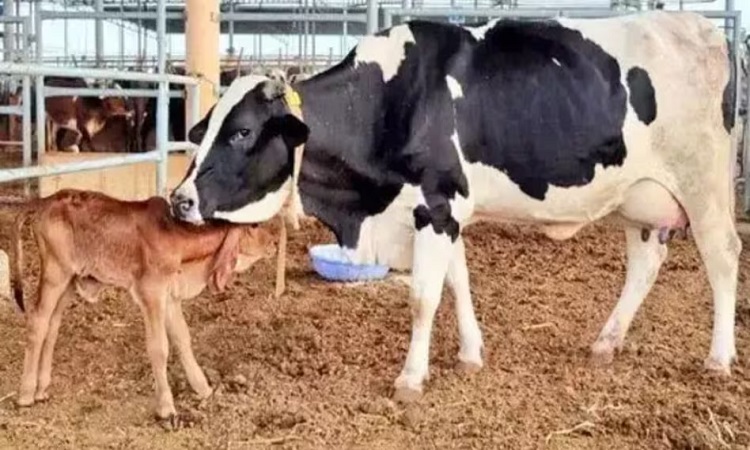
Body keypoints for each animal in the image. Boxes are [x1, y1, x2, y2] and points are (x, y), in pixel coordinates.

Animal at [9, 189, 277, 421]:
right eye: (254, 226)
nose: (274, 243)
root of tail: (46, 201)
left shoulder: (170, 296)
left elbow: (183, 338)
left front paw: (203, 387)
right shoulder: (151, 292)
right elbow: (159, 347)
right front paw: (166, 407)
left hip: (70, 281)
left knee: (52, 325)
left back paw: (42, 389)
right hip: (55, 274)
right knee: (37, 321)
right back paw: (26, 394)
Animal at [168, 11, 741, 402]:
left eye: (242, 132)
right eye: (207, 126)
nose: (180, 199)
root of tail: (700, 26)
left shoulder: (436, 204)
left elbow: (423, 296)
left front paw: (410, 377)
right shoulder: (445, 212)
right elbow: (457, 282)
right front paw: (469, 354)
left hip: (706, 185)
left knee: (723, 258)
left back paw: (718, 358)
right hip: (639, 199)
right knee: (646, 263)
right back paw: (607, 341)